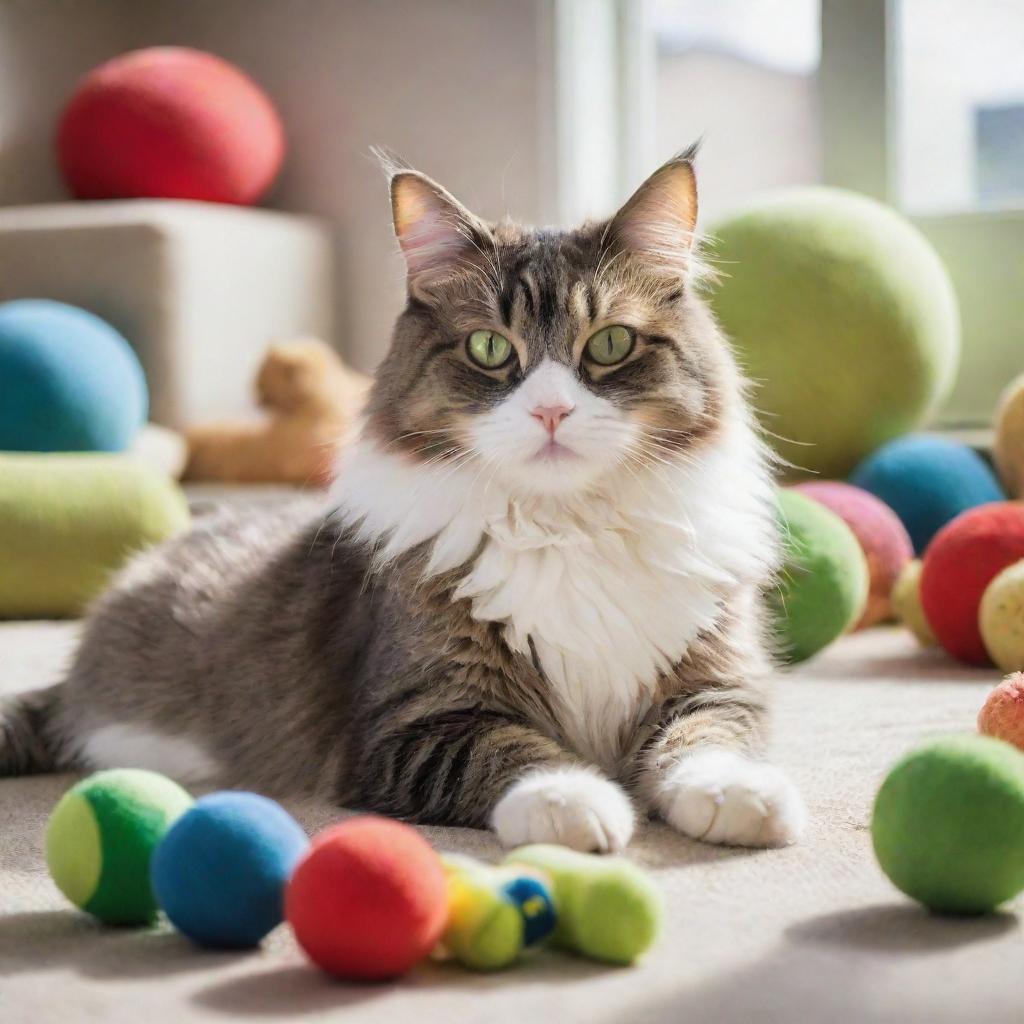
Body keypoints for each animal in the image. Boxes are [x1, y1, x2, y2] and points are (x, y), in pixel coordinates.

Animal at [4, 151, 811, 851]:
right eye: (490, 350)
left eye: (610, 344)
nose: (552, 411)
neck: (566, 527)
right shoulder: (416, 721)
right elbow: (512, 751)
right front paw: (573, 800)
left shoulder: (714, 679)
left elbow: (709, 738)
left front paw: (738, 797)